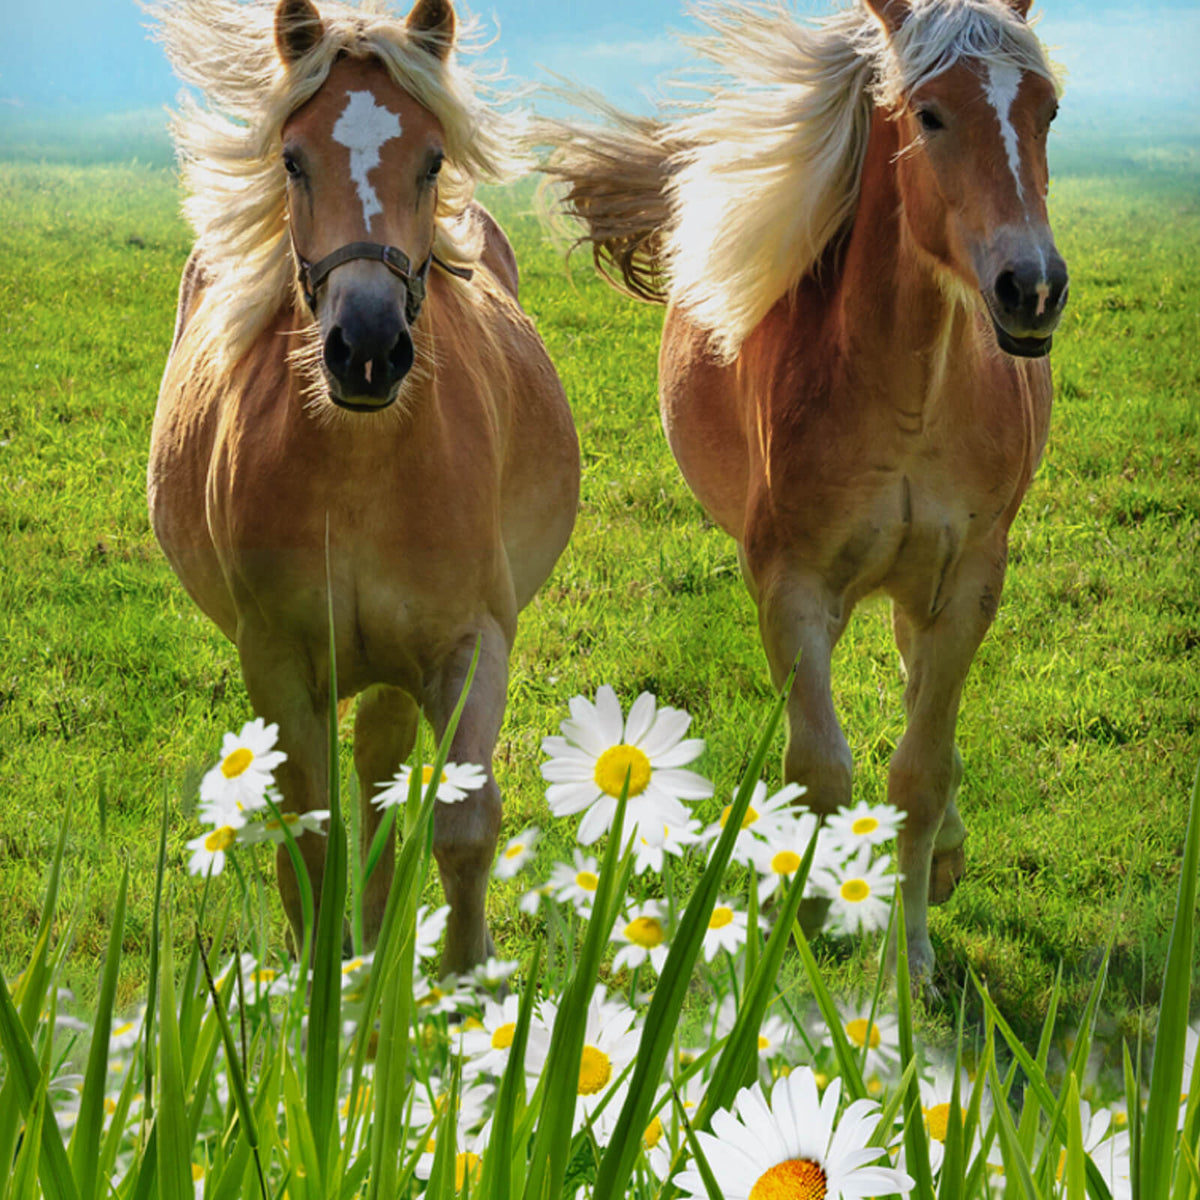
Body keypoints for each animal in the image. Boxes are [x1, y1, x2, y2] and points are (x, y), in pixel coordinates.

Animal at [148, 0, 579, 975]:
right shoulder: (275, 661)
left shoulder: (469, 645)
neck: (359, 467)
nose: (368, 346)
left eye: (432, 159)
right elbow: (307, 840)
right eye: (292, 159)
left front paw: (464, 982)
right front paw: (315, 994)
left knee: (384, 773)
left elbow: (464, 827)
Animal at [539, 0, 1067, 987]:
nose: (1033, 289)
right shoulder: (792, 588)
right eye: (930, 115)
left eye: (1047, 110)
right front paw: (810, 923)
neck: (907, 398)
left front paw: (909, 963)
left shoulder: (969, 585)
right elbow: (821, 770)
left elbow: (920, 772)